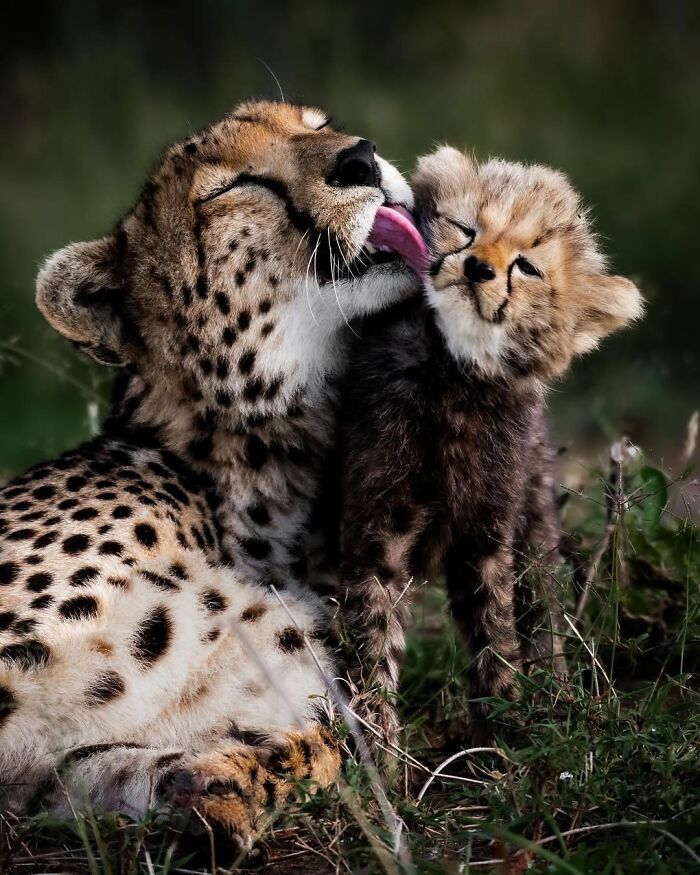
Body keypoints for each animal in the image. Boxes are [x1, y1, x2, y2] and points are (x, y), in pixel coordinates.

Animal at [0, 100, 425, 850]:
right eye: (232, 187)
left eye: (317, 122)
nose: (362, 159)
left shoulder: (52, 770)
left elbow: (331, 746)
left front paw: (221, 783)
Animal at [337, 146, 643, 749]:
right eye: (466, 229)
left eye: (527, 266)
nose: (478, 267)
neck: (454, 374)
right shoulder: (375, 535)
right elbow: (373, 638)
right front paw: (378, 746)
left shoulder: (486, 534)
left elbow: (497, 632)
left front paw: (506, 732)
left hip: (535, 513)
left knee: (543, 606)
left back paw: (559, 697)